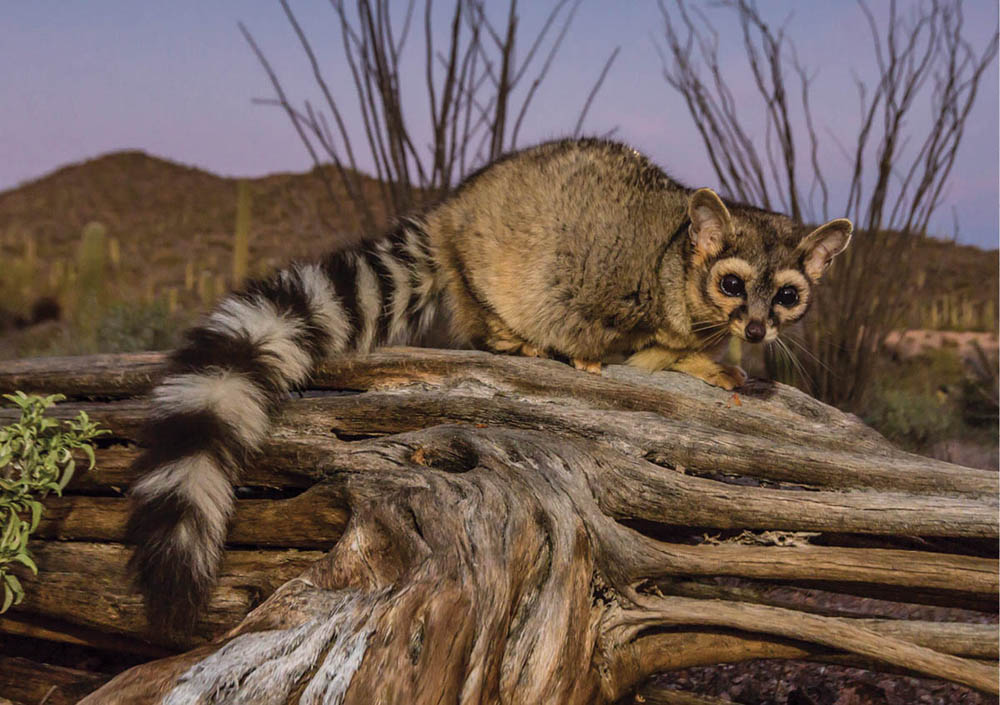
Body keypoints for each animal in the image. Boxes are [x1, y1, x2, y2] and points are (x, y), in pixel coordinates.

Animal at [127, 136, 852, 628]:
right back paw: (513, 334)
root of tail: (454, 207)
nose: (754, 327)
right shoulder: (622, 291)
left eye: (787, 296)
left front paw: (716, 358)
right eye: (731, 282)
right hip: (494, 265)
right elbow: (627, 342)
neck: (682, 262)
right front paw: (672, 358)